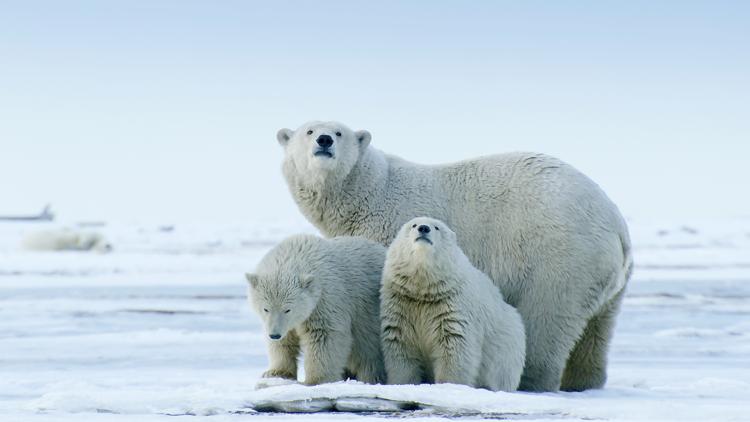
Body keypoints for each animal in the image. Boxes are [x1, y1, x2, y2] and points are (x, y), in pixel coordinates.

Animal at [247, 234, 388, 386]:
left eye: (288, 310)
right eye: (266, 309)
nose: (274, 335)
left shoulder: (325, 299)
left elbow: (323, 335)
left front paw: (315, 380)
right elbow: (285, 341)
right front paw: (276, 373)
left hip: (368, 313)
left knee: (368, 351)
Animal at [378, 218, 524, 392]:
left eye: (436, 227)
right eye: (413, 225)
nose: (423, 228)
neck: (424, 291)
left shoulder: (451, 307)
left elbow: (454, 347)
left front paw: (448, 386)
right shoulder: (403, 304)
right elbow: (401, 345)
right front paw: (402, 384)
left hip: (507, 348)